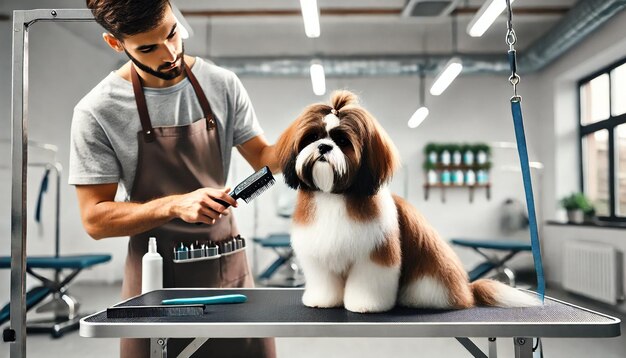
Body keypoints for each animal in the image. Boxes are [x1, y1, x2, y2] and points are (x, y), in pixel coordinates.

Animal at [276, 91, 540, 312]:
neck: (334, 195)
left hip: (428, 280)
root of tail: (467, 291)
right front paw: (322, 301)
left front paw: (365, 305)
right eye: (313, 136)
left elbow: (368, 280)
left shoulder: (375, 253)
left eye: (342, 141)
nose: (323, 146)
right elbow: (324, 280)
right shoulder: (318, 254)